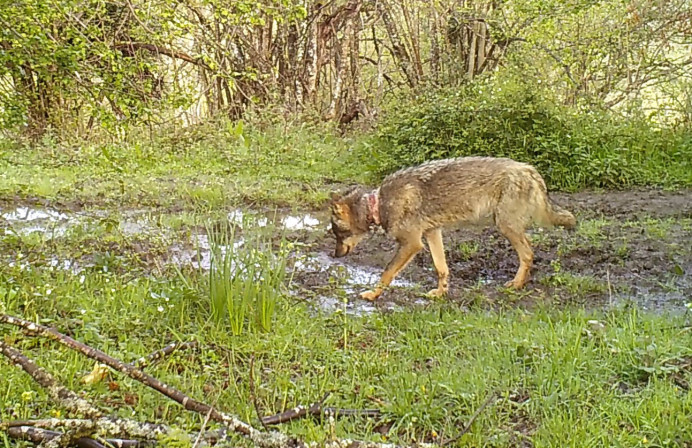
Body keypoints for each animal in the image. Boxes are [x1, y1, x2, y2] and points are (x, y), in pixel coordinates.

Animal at [329, 156, 576, 301]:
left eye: (337, 233)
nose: (335, 255)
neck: (378, 205)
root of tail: (531, 170)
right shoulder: (432, 233)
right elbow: (442, 268)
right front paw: (441, 293)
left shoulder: (411, 244)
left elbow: (387, 272)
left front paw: (373, 294)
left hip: (505, 226)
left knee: (528, 254)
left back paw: (515, 285)